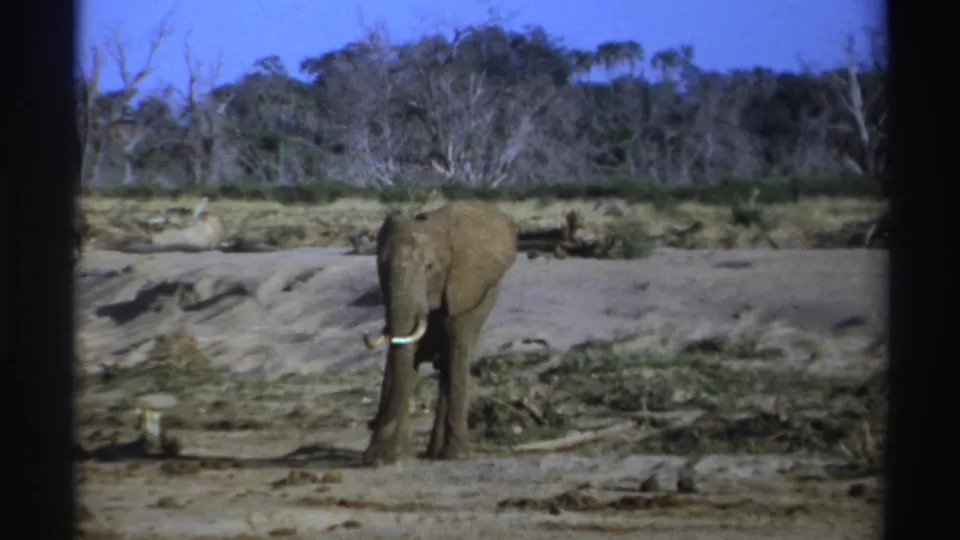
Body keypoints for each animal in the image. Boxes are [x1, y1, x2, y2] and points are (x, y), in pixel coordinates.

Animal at [360, 200, 518, 465]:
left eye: (429, 267)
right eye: (381, 265)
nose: (371, 423)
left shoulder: (463, 290)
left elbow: (456, 350)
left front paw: (456, 455)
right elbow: (405, 352)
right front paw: (381, 457)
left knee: (452, 361)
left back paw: (443, 454)